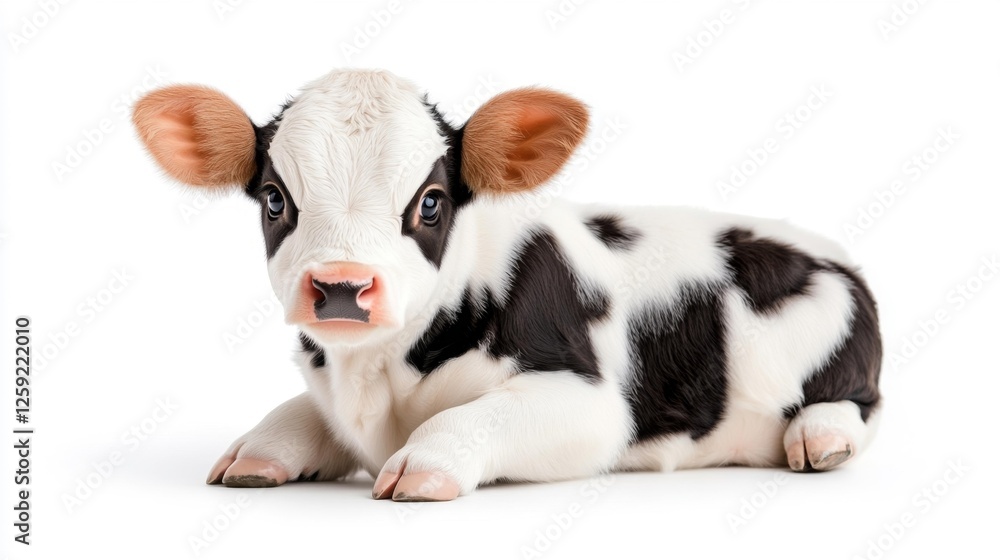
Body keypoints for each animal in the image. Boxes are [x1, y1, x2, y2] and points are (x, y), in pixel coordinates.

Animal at [131, 69, 882, 502]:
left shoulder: (591, 407)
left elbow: (473, 418)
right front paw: (255, 452)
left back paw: (821, 438)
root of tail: (830, 254)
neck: (375, 381)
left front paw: (423, 465)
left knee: (855, 404)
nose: (342, 287)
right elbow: (300, 413)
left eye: (431, 201)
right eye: (274, 199)